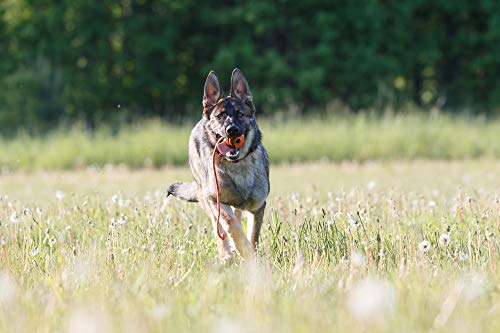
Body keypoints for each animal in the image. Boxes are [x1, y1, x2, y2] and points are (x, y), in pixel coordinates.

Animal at [168, 68, 270, 260]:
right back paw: (226, 255)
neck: (237, 166)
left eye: (240, 114)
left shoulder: (257, 207)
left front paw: (250, 255)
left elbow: (253, 236)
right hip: (206, 198)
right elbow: (231, 225)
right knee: (220, 229)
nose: (232, 130)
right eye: (220, 116)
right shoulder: (215, 199)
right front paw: (241, 248)